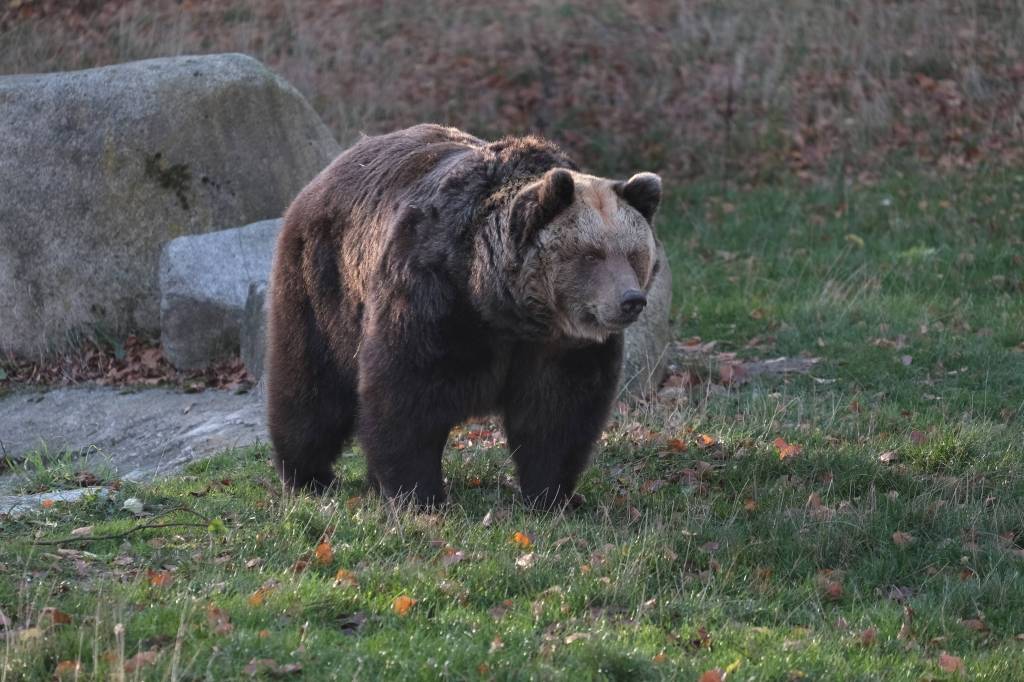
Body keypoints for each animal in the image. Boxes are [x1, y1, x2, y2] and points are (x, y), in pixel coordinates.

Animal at [268, 122, 659, 507]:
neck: (506, 307)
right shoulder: (435, 296)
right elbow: (407, 394)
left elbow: (559, 412)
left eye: (633, 254)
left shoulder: (561, 346)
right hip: (324, 284)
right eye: (592, 254)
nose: (630, 300)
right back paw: (308, 475)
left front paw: (554, 495)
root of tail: (331, 168)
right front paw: (417, 494)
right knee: (313, 386)